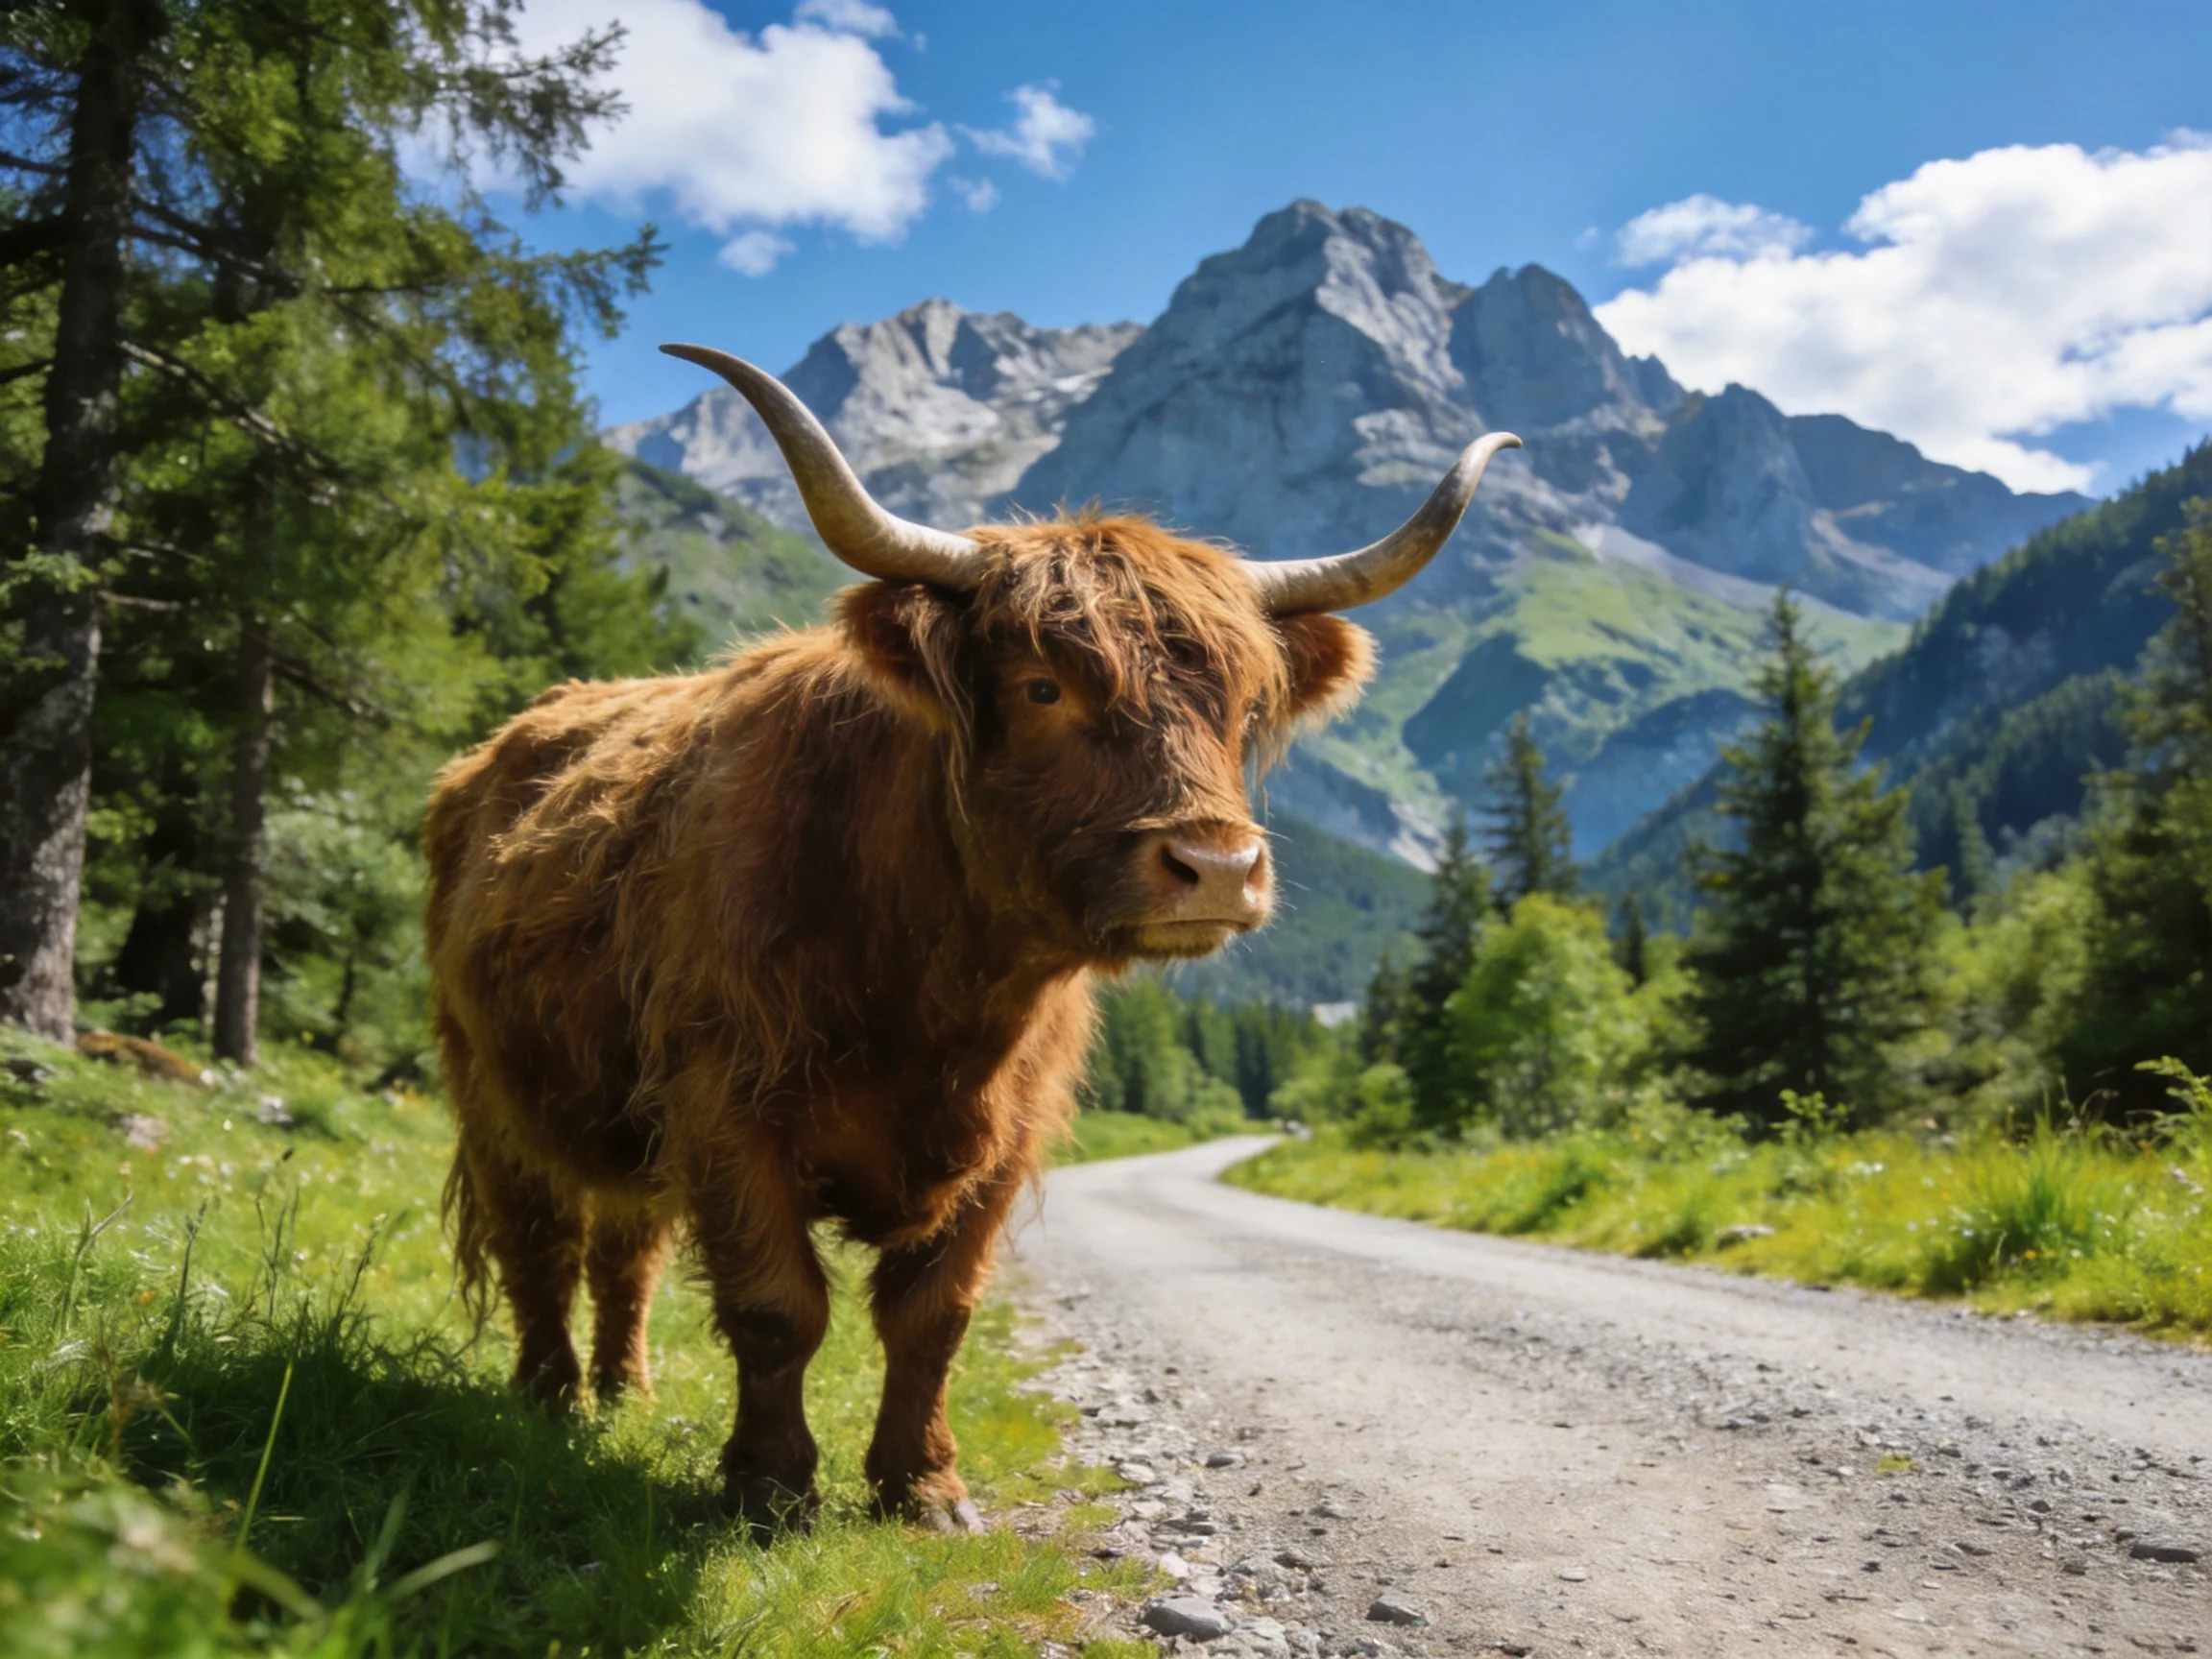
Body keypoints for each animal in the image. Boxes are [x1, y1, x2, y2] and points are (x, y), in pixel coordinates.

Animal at [423, 342, 1518, 1535]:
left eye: (1240, 706)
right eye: (1044, 686)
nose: (1218, 867)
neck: (934, 989)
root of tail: (502, 744)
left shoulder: (1006, 1134)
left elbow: (934, 1314)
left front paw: (923, 1487)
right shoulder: (726, 1104)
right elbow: (776, 1306)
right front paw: (769, 1487)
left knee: (629, 1251)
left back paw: (627, 1390)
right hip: (490, 1092)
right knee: (541, 1241)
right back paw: (552, 1401)